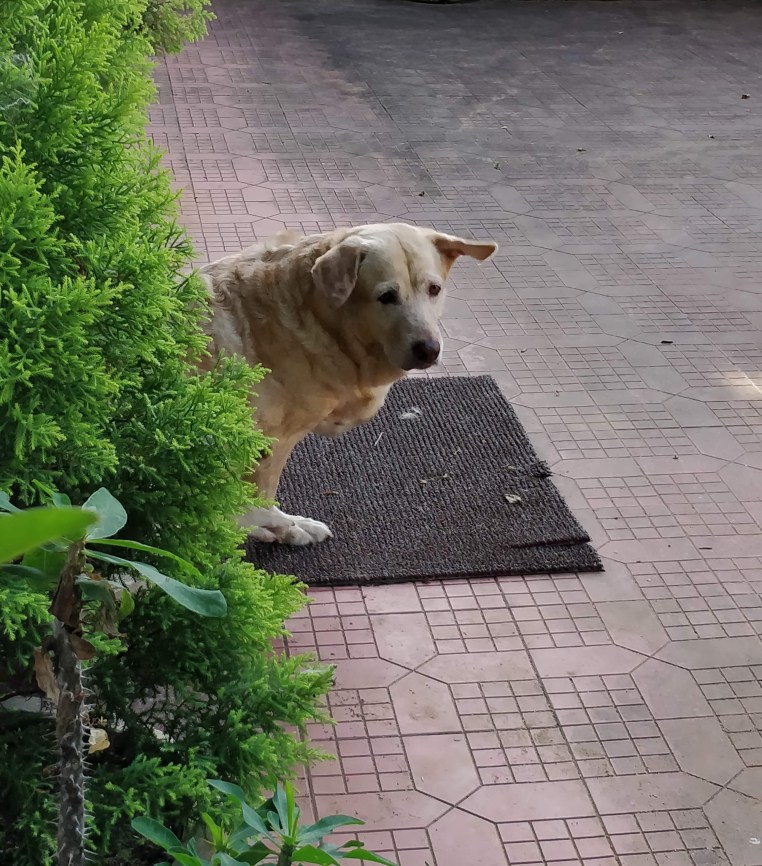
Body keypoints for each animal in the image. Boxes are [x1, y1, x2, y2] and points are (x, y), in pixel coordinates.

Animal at [199, 222, 497, 545]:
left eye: (434, 289)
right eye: (386, 296)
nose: (429, 350)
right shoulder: (270, 440)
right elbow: (258, 497)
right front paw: (281, 526)